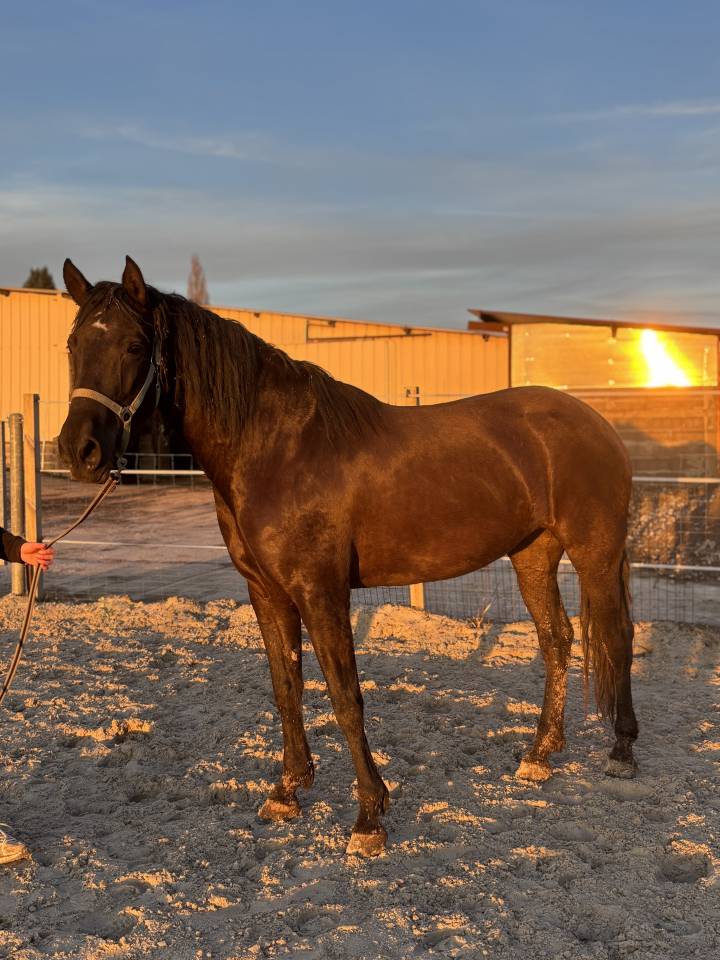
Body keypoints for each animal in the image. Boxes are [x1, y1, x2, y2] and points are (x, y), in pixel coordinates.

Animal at [58, 257, 638, 857]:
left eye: (133, 345)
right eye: (73, 344)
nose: (80, 452)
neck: (275, 449)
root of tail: (595, 422)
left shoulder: (320, 591)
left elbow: (344, 695)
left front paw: (368, 819)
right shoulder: (266, 592)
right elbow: (286, 689)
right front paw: (287, 792)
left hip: (594, 553)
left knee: (617, 636)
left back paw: (620, 752)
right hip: (532, 556)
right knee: (557, 640)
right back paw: (539, 755)